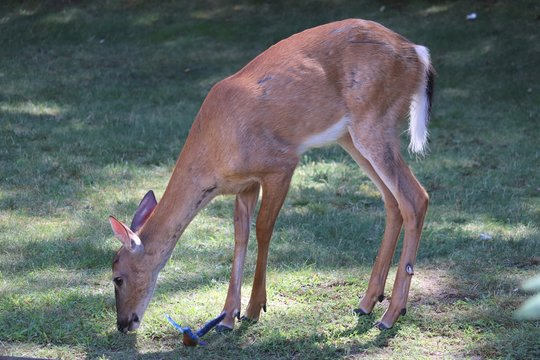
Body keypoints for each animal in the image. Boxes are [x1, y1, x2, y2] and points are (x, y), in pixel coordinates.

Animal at [108, 19, 434, 334]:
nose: (123, 324)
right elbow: (240, 235)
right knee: (392, 200)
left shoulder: (281, 163)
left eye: (117, 277)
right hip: (350, 136)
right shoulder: (245, 184)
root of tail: (418, 53)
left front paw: (253, 309)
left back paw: (392, 314)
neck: (214, 154)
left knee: (416, 197)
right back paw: (368, 302)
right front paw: (227, 316)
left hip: (374, 121)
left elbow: (263, 229)